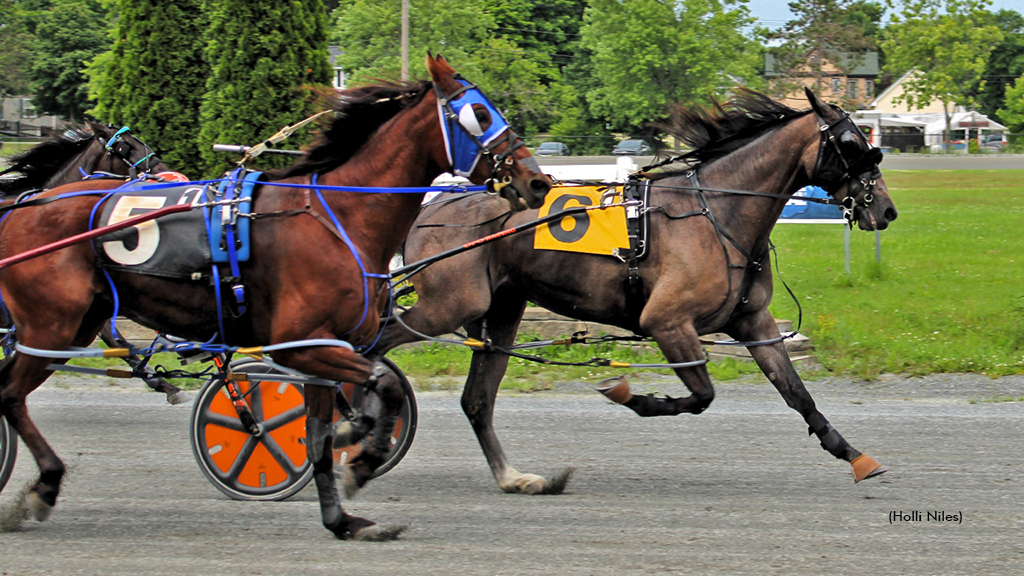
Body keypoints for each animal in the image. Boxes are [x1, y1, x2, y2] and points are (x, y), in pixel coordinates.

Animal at [0, 53, 552, 537]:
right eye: (480, 113)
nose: (538, 181)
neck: (333, 216)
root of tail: (23, 208)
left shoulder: (324, 349)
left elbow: (321, 438)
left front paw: (342, 517)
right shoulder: (302, 345)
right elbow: (383, 388)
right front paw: (362, 461)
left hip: (72, 326)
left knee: (11, 392)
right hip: (49, 326)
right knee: (9, 395)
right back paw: (43, 487)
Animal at [368, 88, 897, 494]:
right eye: (851, 143)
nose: (886, 210)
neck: (717, 213)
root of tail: (430, 209)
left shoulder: (753, 321)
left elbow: (796, 392)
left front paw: (854, 455)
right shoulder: (666, 321)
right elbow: (701, 394)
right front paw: (628, 394)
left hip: (501, 311)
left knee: (476, 400)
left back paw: (513, 477)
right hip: (450, 303)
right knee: (374, 342)